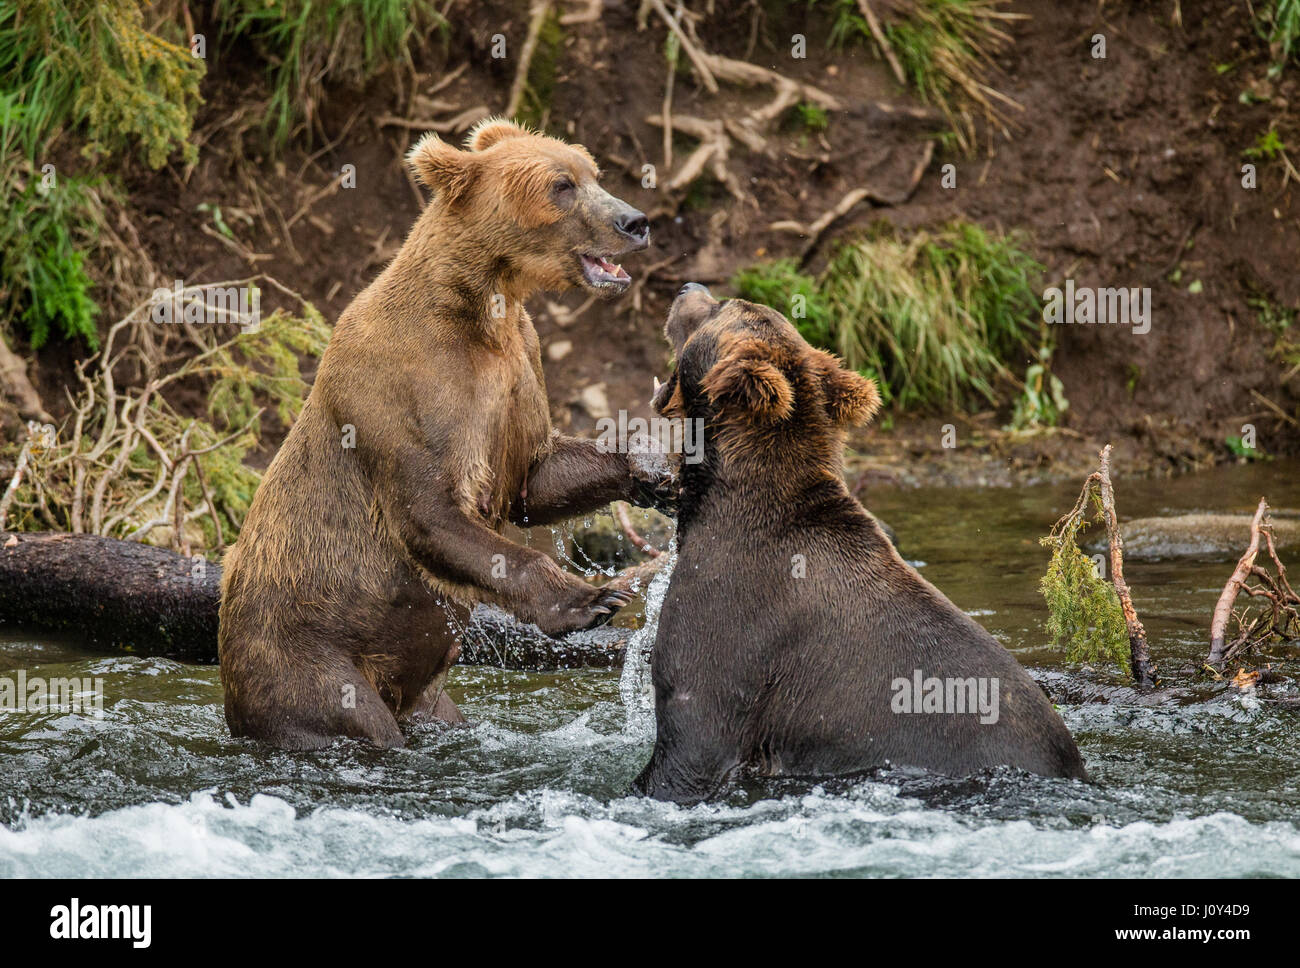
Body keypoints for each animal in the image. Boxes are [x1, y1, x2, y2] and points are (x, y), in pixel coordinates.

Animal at [217, 120, 670, 753]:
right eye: (561, 186)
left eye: (593, 174)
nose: (636, 221)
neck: (481, 307)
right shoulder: (406, 385)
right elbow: (431, 511)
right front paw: (595, 597)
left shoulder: (518, 368)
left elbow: (534, 478)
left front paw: (658, 462)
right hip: (305, 654)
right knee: (343, 713)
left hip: (426, 697)